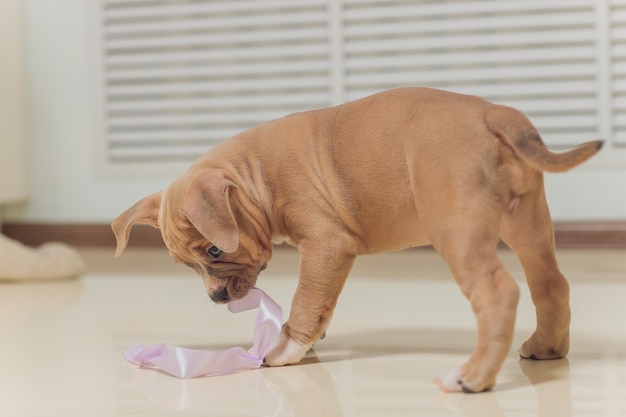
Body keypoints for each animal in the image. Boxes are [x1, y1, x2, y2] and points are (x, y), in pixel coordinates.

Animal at [111, 88, 600, 394]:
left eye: (215, 250)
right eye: (187, 264)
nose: (215, 297)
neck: (255, 175)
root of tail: (493, 116)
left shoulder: (326, 245)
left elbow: (306, 297)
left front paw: (286, 347)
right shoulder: (330, 257)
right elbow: (322, 300)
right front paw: (313, 335)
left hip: (457, 229)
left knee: (498, 292)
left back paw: (471, 377)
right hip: (526, 224)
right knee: (550, 284)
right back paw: (546, 348)